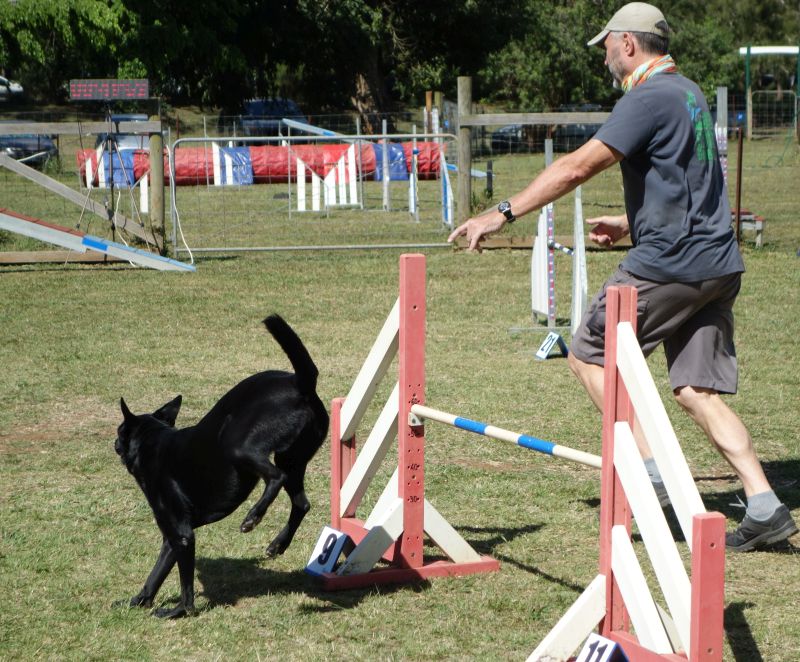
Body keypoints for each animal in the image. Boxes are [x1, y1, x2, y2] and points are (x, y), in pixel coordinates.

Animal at [113, 316, 328, 616]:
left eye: (120, 431)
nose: (114, 443)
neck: (155, 443)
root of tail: (299, 382)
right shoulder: (171, 538)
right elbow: (156, 574)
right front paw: (137, 601)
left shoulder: (182, 536)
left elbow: (185, 586)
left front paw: (180, 611)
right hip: (293, 457)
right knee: (301, 502)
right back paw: (278, 543)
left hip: (238, 445)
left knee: (276, 477)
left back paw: (253, 516)